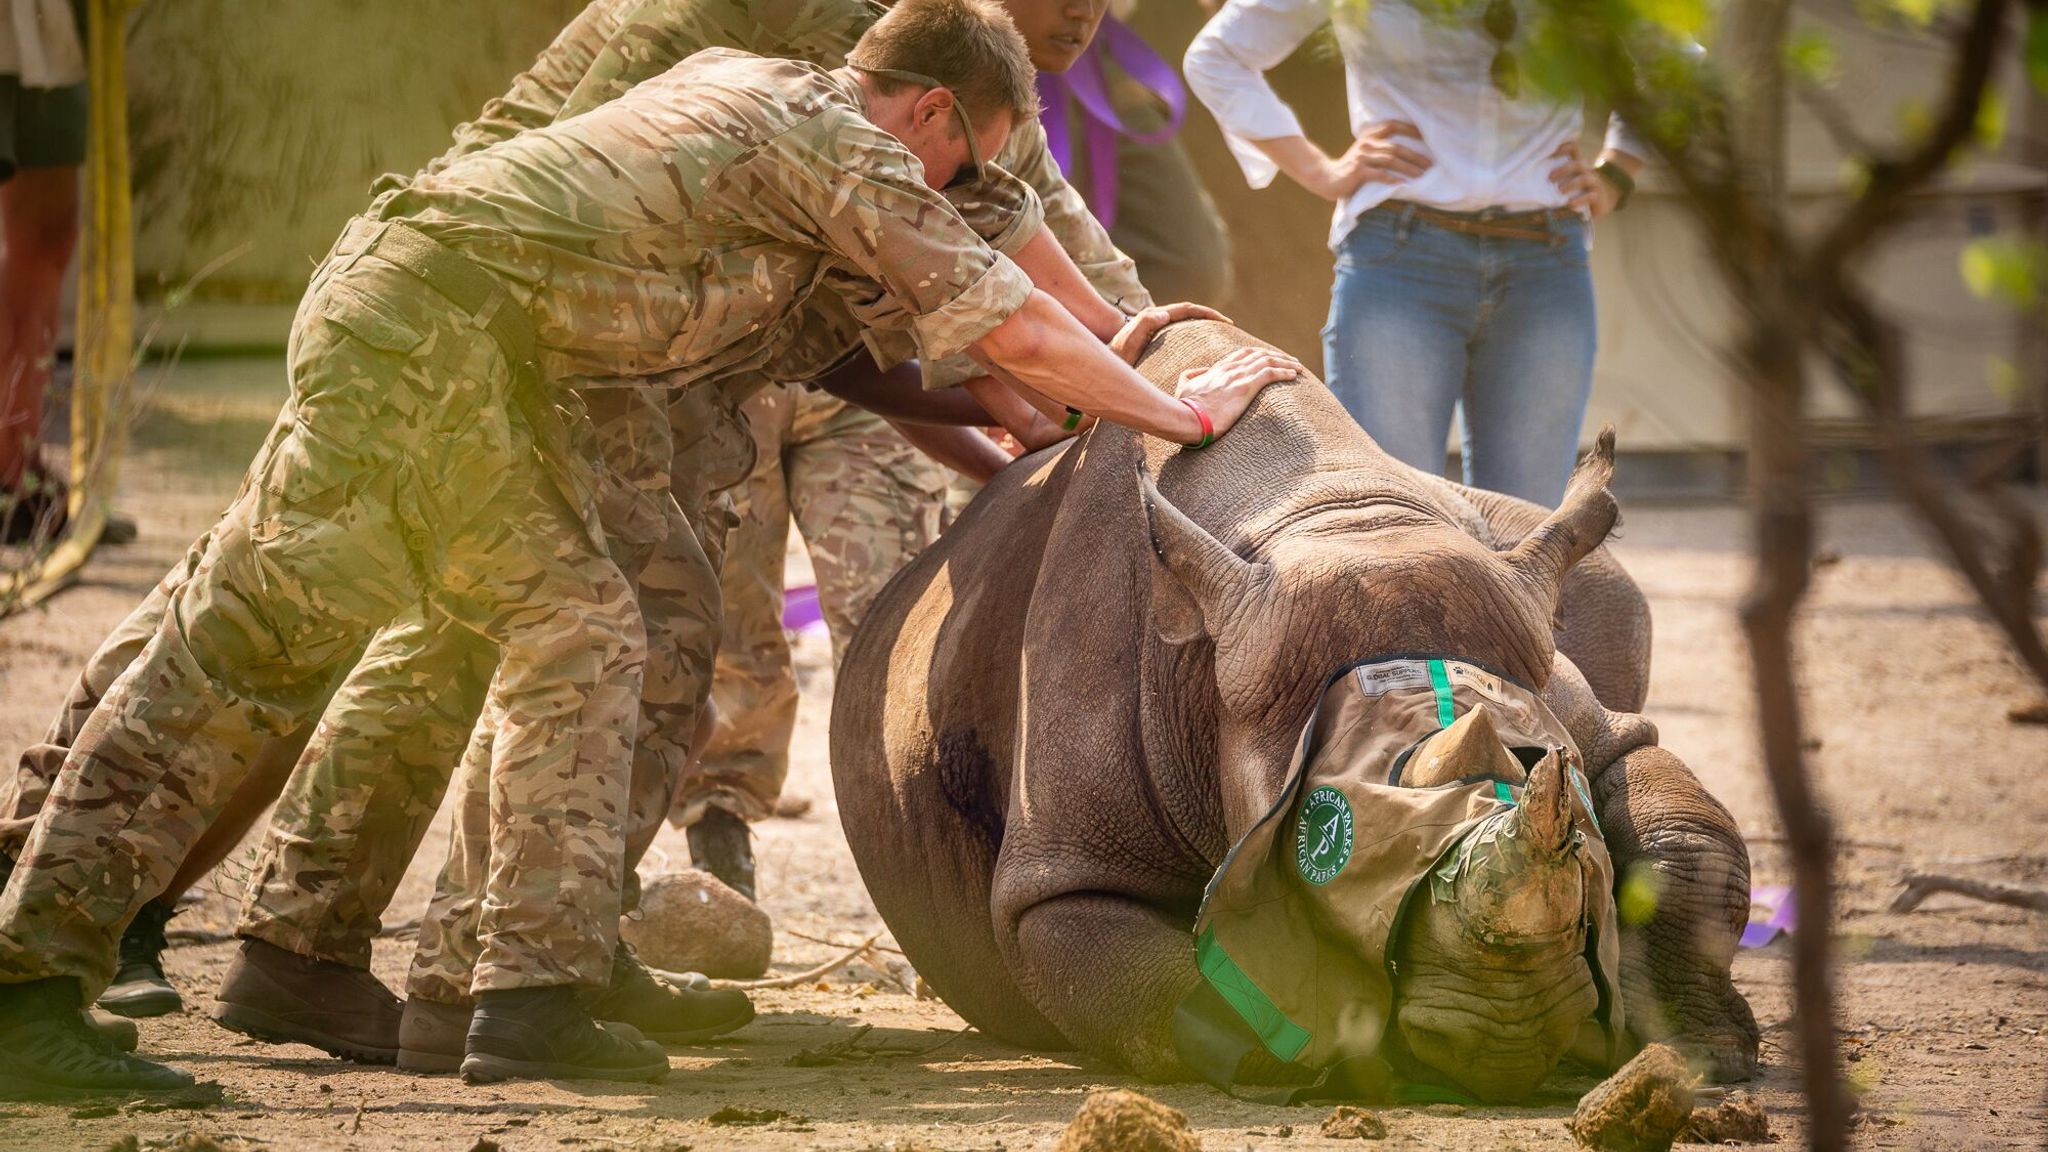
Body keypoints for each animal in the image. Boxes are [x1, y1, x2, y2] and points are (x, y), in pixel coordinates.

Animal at [831, 317, 1761, 1098]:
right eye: (1330, 839)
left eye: (1540, 771)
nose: (1510, 1037)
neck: (1326, 513)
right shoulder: (1060, 879)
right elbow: (1198, 982)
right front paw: (1362, 1055)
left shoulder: (1574, 710)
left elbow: (1683, 833)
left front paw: (1704, 1052)